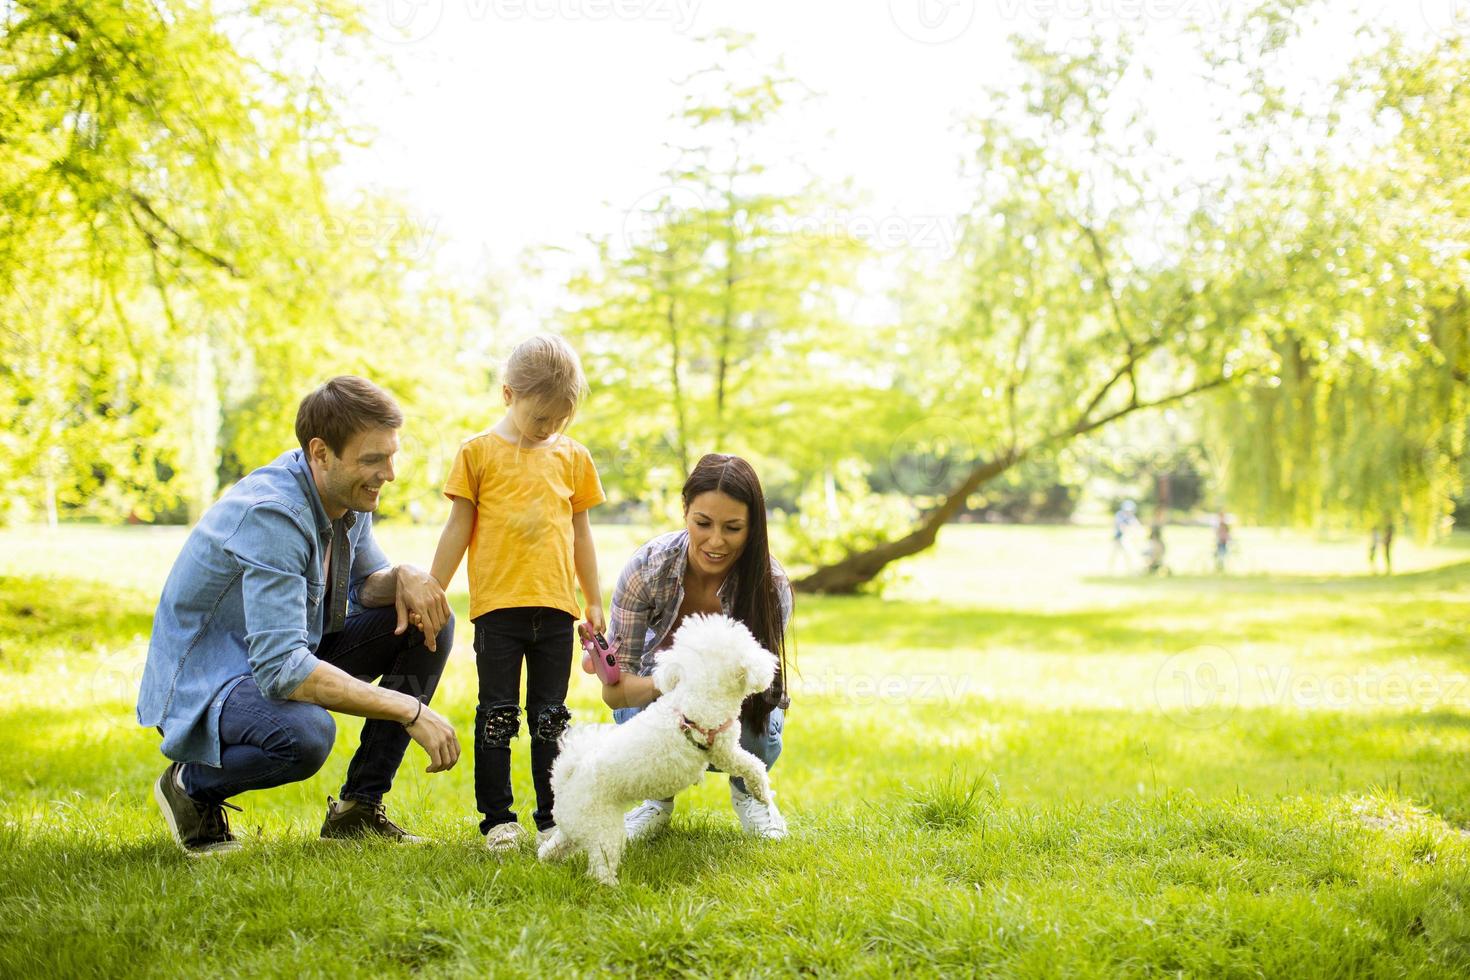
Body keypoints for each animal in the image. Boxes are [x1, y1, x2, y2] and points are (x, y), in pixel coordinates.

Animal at [535, 617, 776, 887]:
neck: (700, 689)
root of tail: (567, 778)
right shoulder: (723, 750)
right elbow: (753, 765)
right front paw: (762, 793)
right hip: (603, 829)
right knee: (600, 866)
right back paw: (612, 887)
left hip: (575, 824)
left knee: (555, 846)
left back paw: (546, 862)